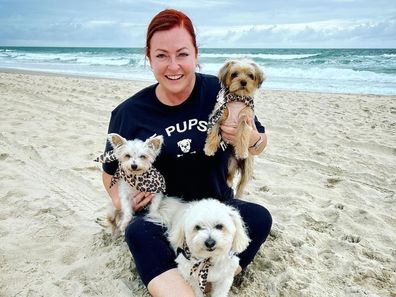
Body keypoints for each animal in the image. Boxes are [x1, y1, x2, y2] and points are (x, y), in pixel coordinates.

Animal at [204, 59, 266, 197]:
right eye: (234, 74)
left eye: (250, 75)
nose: (243, 82)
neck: (237, 98)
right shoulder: (219, 115)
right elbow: (214, 133)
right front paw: (209, 148)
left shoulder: (245, 120)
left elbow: (242, 135)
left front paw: (242, 151)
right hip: (231, 163)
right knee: (231, 175)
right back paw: (228, 182)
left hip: (248, 167)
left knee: (241, 185)